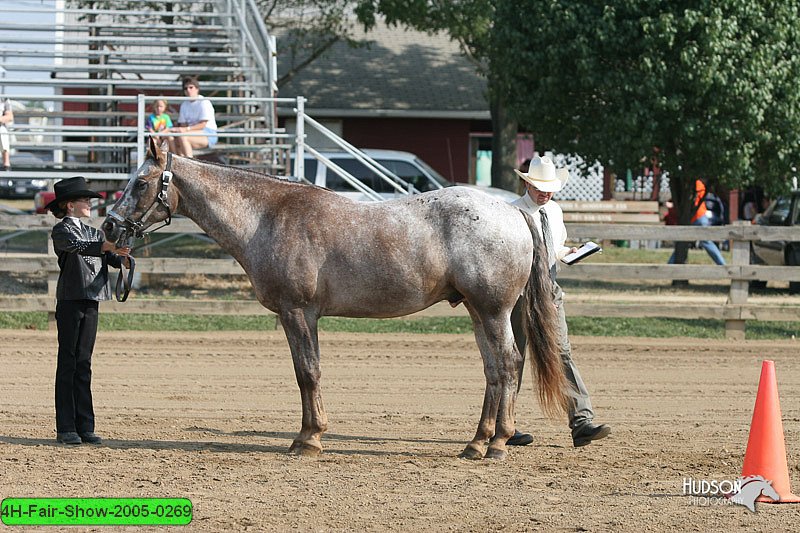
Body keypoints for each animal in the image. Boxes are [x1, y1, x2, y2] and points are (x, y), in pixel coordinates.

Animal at [104, 139, 568, 460]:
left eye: (140, 182)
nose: (109, 227)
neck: (268, 217)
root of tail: (513, 212)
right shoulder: (301, 316)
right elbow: (307, 373)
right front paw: (310, 435)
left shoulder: (298, 313)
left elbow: (307, 373)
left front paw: (308, 439)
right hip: (477, 312)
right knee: (493, 371)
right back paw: (476, 442)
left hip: (492, 311)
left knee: (508, 364)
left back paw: (499, 444)